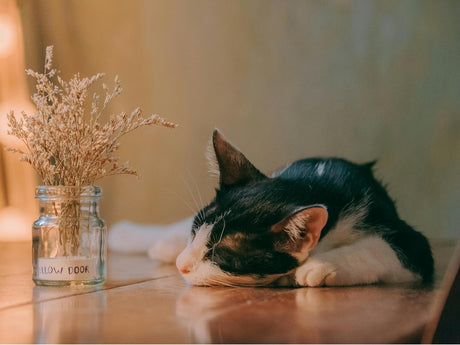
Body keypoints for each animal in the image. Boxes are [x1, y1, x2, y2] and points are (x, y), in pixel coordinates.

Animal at [109, 129, 434, 288]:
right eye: (195, 233)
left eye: (220, 254)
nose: (181, 265)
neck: (315, 184)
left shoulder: (406, 237)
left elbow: (387, 248)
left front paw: (320, 266)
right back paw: (137, 237)